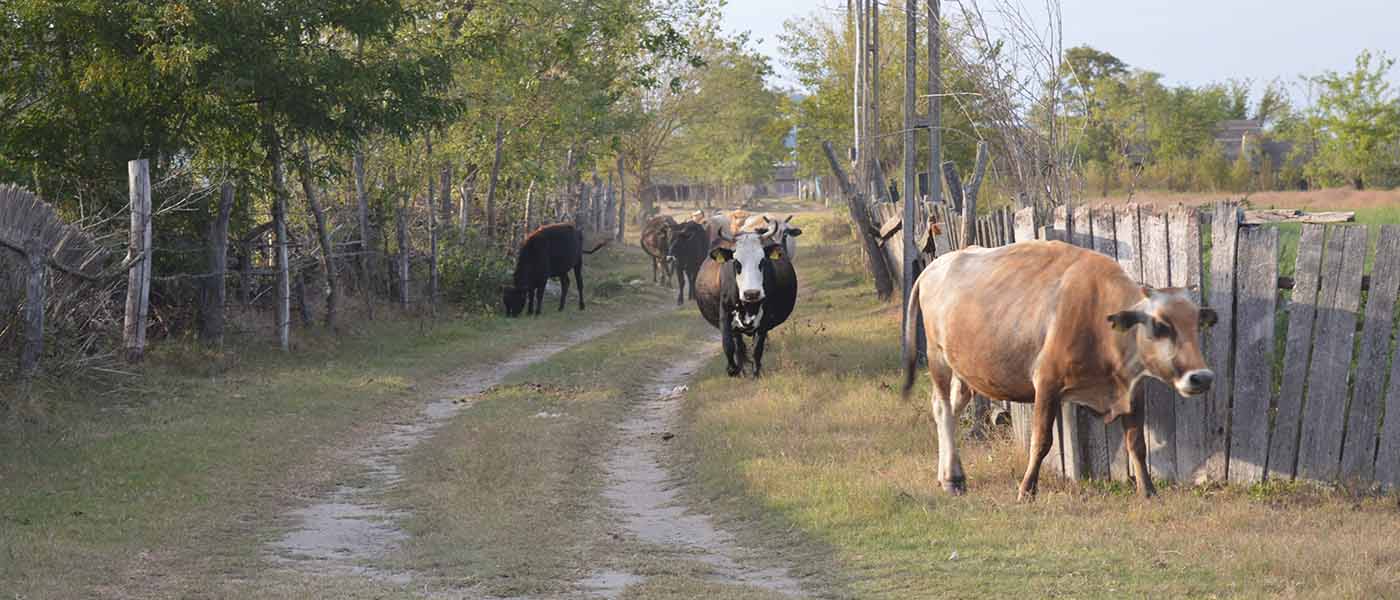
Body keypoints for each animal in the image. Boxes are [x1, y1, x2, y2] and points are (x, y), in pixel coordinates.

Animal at [691, 227, 795, 374]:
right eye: (736, 263)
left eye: (762, 261)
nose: (752, 293)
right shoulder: (725, 314)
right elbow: (728, 344)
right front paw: (732, 369)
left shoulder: (764, 318)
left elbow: (757, 348)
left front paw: (756, 372)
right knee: (738, 346)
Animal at [901, 240, 1220, 497]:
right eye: (1160, 325)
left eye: (1196, 324)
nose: (1202, 378)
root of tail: (933, 267)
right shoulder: (1047, 383)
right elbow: (1041, 441)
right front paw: (1027, 489)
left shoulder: (1133, 389)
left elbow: (1137, 443)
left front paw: (1148, 490)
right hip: (937, 357)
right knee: (943, 409)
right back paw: (952, 479)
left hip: (964, 370)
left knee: (949, 410)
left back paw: (947, 473)